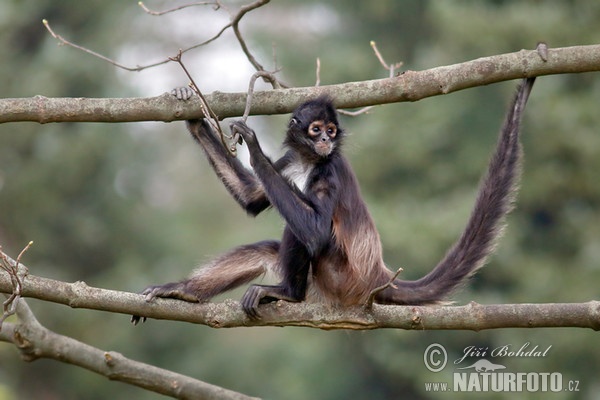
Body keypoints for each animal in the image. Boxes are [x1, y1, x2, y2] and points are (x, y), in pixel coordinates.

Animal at [131, 78, 536, 322]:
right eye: (315, 130)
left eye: (329, 131)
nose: (326, 140)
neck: (310, 162)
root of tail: (377, 274)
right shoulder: (289, 161)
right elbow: (252, 198)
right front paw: (191, 116)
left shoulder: (330, 170)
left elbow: (315, 232)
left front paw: (254, 145)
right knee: (269, 246)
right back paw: (184, 293)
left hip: (341, 277)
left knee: (302, 233)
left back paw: (289, 295)